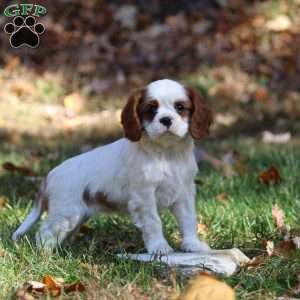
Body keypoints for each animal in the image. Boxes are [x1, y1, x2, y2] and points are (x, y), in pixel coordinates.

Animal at [12, 78, 213, 254]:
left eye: (180, 107)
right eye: (151, 109)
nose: (166, 119)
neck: (167, 153)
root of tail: (50, 174)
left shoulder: (184, 192)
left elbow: (188, 220)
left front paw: (193, 245)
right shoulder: (144, 197)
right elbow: (153, 222)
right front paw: (159, 248)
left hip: (76, 215)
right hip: (66, 212)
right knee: (44, 232)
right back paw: (45, 255)